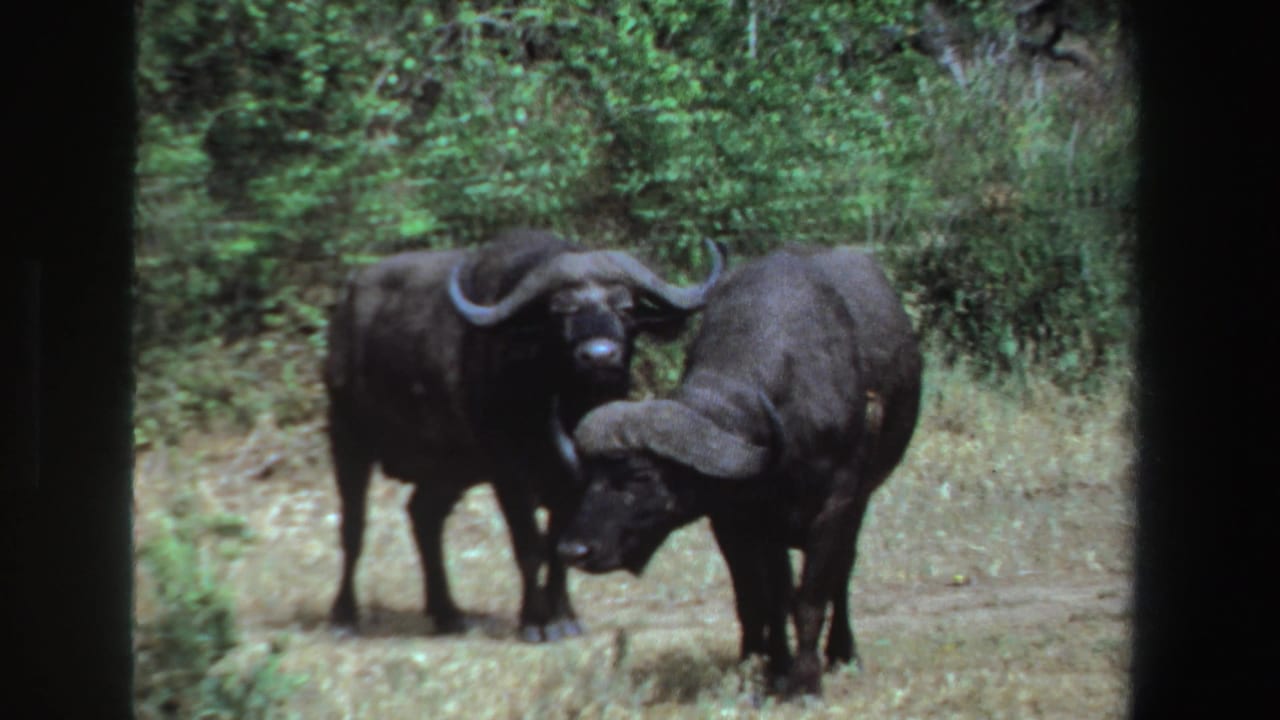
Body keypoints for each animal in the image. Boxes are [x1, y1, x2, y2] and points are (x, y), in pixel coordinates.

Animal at [325, 229, 723, 641]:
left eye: (625, 307)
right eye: (561, 310)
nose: (599, 355)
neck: (558, 400)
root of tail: (348, 301)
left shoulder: (575, 479)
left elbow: (562, 544)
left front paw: (563, 618)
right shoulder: (508, 472)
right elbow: (530, 546)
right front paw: (534, 621)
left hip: (451, 467)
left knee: (424, 516)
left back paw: (448, 613)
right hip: (347, 435)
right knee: (353, 527)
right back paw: (344, 616)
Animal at [554, 246, 922, 694]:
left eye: (640, 477)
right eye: (588, 475)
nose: (574, 550)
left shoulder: (837, 506)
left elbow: (811, 597)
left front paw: (804, 682)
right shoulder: (735, 520)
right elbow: (761, 599)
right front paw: (768, 668)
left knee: (843, 574)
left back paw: (842, 652)